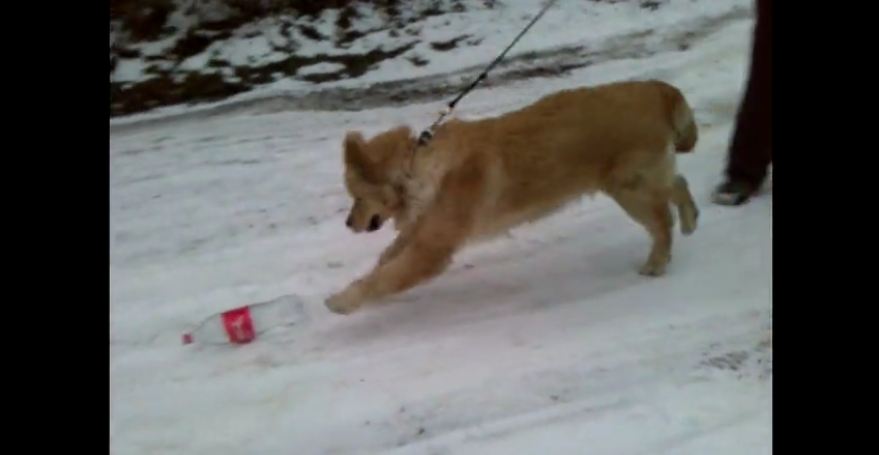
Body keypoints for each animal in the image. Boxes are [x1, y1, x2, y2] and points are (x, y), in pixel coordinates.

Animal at [326, 80, 696, 316]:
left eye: (356, 197)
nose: (348, 223)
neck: (422, 168)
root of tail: (657, 89)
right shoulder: (423, 229)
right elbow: (385, 260)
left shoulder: (430, 250)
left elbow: (386, 276)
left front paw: (344, 301)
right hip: (637, 183)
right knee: (677, 184)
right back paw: (691, 218)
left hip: (629, 187)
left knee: (662, 220)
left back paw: (658, 260)